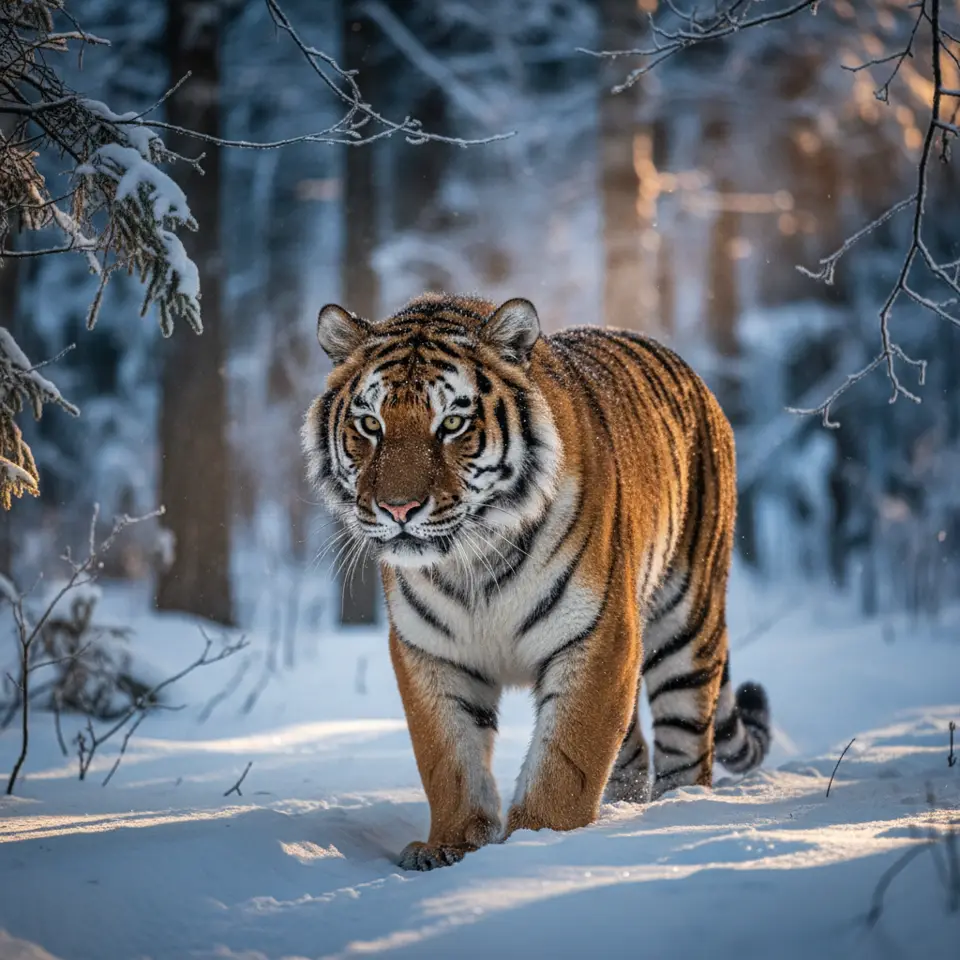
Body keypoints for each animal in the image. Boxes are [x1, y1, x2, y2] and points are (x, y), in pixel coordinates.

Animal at [303, 292, 771, 871]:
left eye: (452, 423)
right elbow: (448, 761)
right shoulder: (431, 652)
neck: (471, 563)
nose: (398, 509)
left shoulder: (598, 638)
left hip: (687, 624)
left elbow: (566, 763)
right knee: (633, 753)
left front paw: (536, 846)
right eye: (370, 424)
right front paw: (450, 846)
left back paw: (676, 813)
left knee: (687, 748)